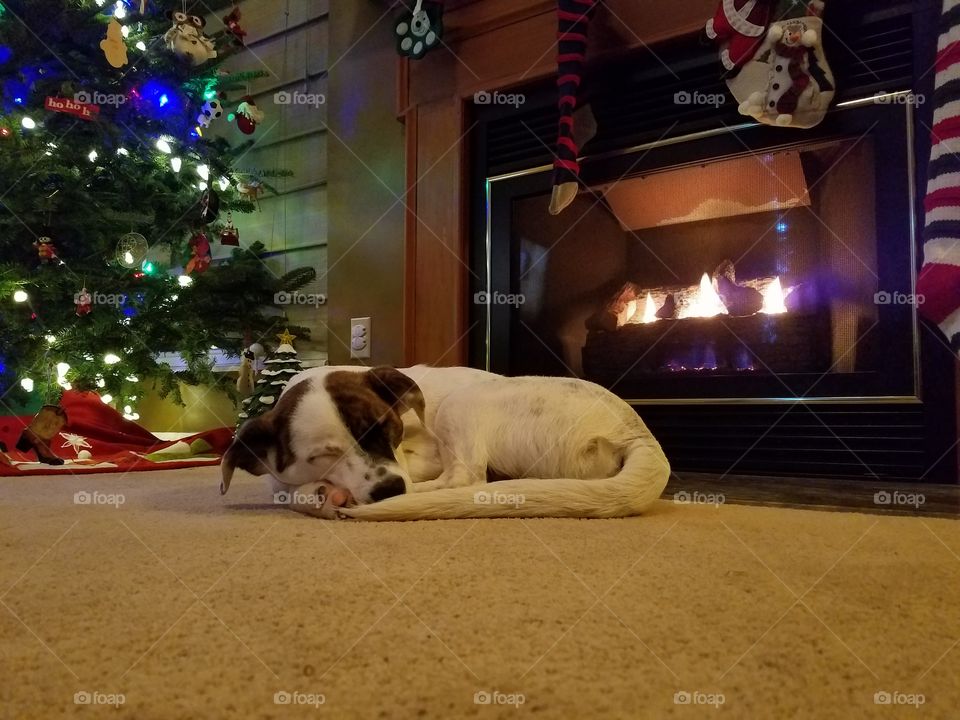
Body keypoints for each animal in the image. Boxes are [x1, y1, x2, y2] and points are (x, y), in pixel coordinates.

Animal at [218, 368, 672, 520]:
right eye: (321, 455)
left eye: (385, 429)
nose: (389, 489)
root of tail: (637, 433)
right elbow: (280, 484)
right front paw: (316, 490)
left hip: (464, 401)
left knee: (466, 479)